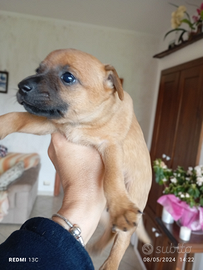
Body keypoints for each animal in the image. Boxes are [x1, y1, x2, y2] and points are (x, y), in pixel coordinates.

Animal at [0, 49, 151, 270]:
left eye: (68, 78)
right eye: (38, 69)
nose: (21, 86)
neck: (80, 123)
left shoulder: (112, 146)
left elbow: (112, 177)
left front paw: (121, 207)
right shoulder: (51, 124)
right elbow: (17, 117)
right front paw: (1, 125)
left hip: (134, 198)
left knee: (120, 242)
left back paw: (109, 262)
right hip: (104, 215)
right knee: (111, 229)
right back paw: (98, 246)